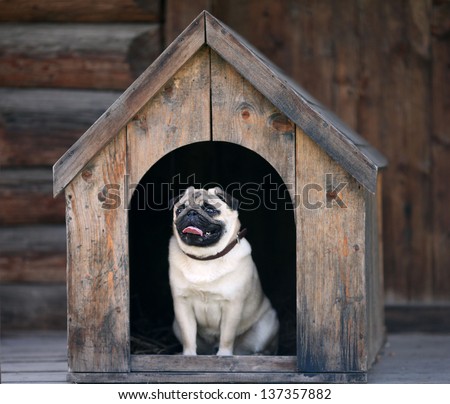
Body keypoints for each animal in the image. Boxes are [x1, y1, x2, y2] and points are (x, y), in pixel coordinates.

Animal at [169, 187, 280, 356]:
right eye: (180, 209)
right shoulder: (183, 304)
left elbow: (227, 336)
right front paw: (188, 356)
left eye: (209, 209)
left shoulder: (232, 305)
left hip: (266, 326)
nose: (191, 212)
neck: (205, 258)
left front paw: (224, 355)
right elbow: (188, 336)